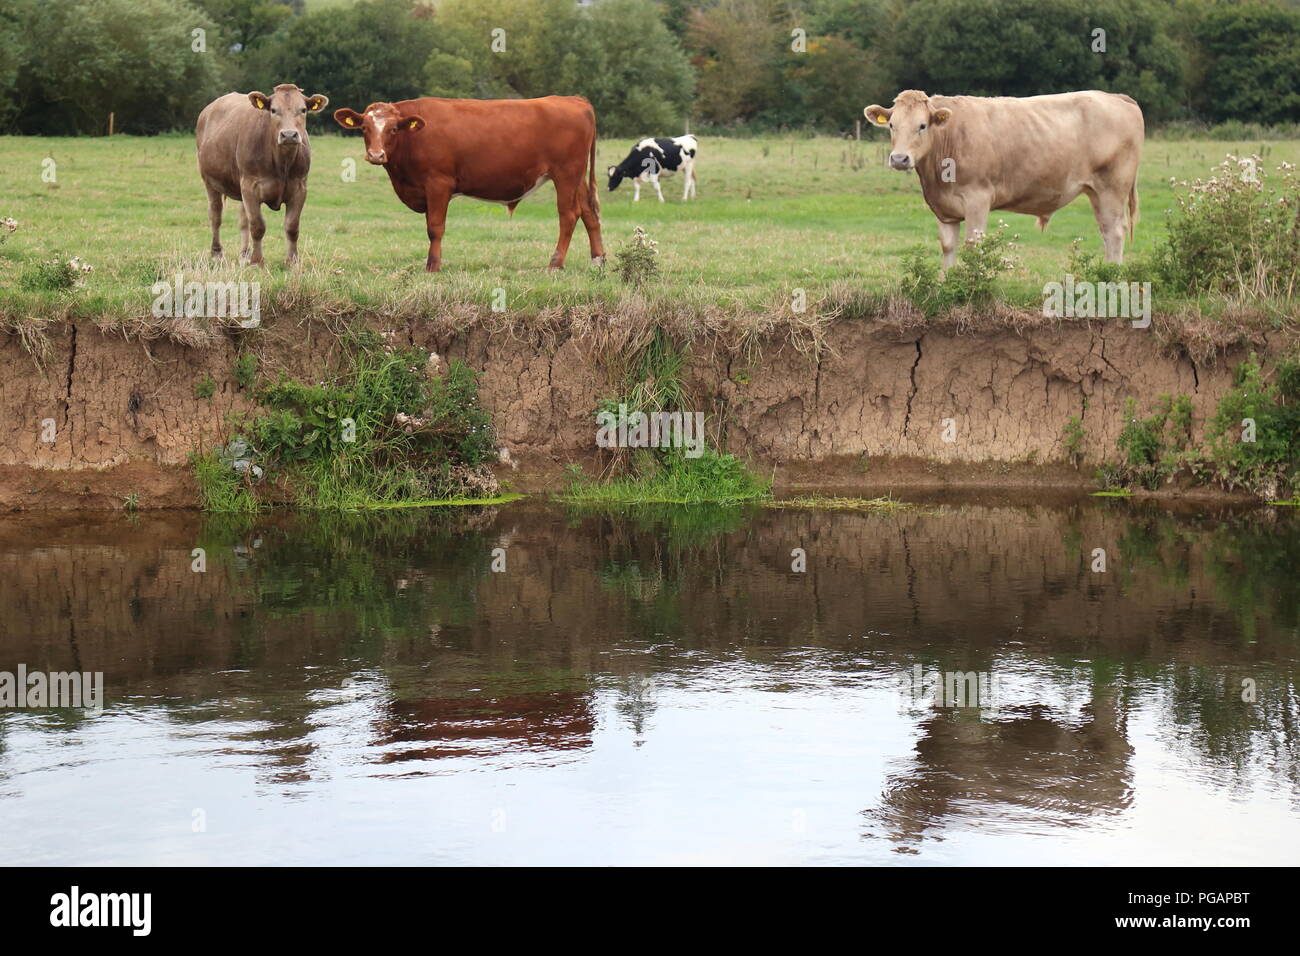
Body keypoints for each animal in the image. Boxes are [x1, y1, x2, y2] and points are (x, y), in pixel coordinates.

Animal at [195, 84, 330, 266]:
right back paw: (217, 253)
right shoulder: (250, 186)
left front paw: (292, 261)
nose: (289, 135)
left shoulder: (300, 188)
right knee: (216, 215)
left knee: (243, 220)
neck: (282, 164)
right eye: (273, 110)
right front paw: (257, 261)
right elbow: (257, 226)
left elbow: (292, 226)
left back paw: (244, 254)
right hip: (210, 181)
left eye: (303, 110)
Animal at [332, 95, 604, 272]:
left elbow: (435, 228)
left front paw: (433, 266)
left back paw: (555, 264)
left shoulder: (438, 183)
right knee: (589, 213)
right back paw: (598, 259)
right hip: (576, 177)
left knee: (568, 215)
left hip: (566, 173)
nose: (376, 155)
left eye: (393, 129)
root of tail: (573, 99)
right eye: (364, 128)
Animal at [863, 90, 1143, 270]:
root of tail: (1116, 97)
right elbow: (948, 246)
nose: (899, 158)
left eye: (922, 126)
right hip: (1097, 191)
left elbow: (973, 245)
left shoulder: (977, 198)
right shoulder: (944, 208)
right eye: (891, 125)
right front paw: (948, 283)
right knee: (1106, 230)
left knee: (1115, 231)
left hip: (1112, 187)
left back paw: (1112, 276)